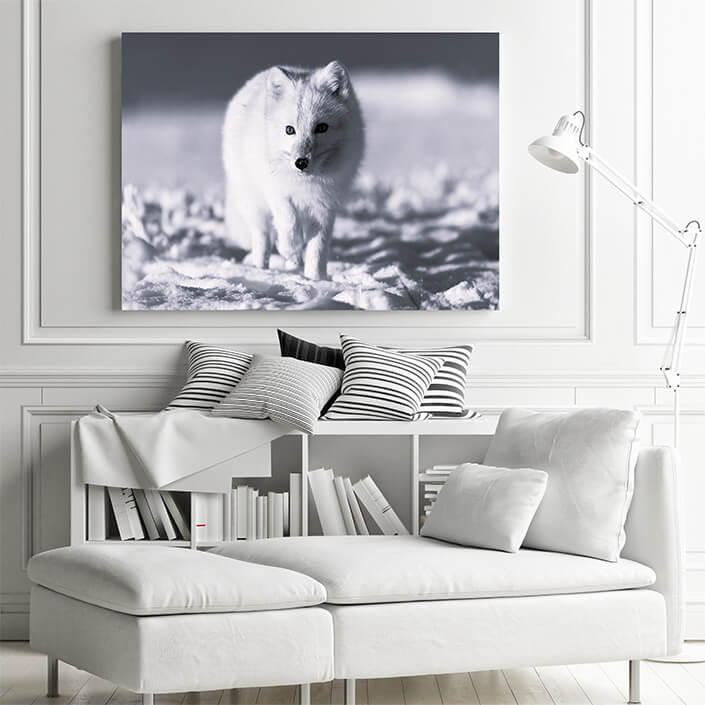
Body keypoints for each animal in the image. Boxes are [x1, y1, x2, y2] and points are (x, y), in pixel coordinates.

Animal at [222, 60, 364, 280]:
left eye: (321, 127)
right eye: (289, 130)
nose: (301, 162)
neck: (306, 184)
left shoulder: (325, 205)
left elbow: (318, 247)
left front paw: (315, 279)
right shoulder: (276, 192)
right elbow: (288, 222)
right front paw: (290, 249)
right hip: (254, 204)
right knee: (262, 238)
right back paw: (261, 269)